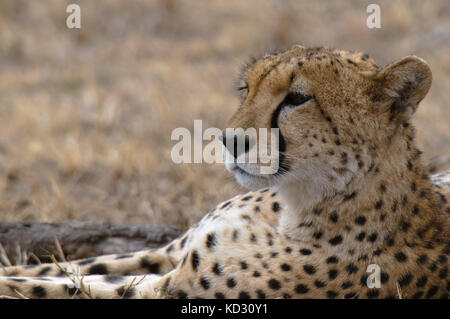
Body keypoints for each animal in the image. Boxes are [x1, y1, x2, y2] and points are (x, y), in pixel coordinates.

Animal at [0, 46, 450, 298]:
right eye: (246, 89)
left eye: (297, 99)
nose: (229, 140)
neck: (292, 207)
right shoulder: (172, 254)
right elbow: (63, 268)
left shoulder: (170, 288)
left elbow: (55, 286)